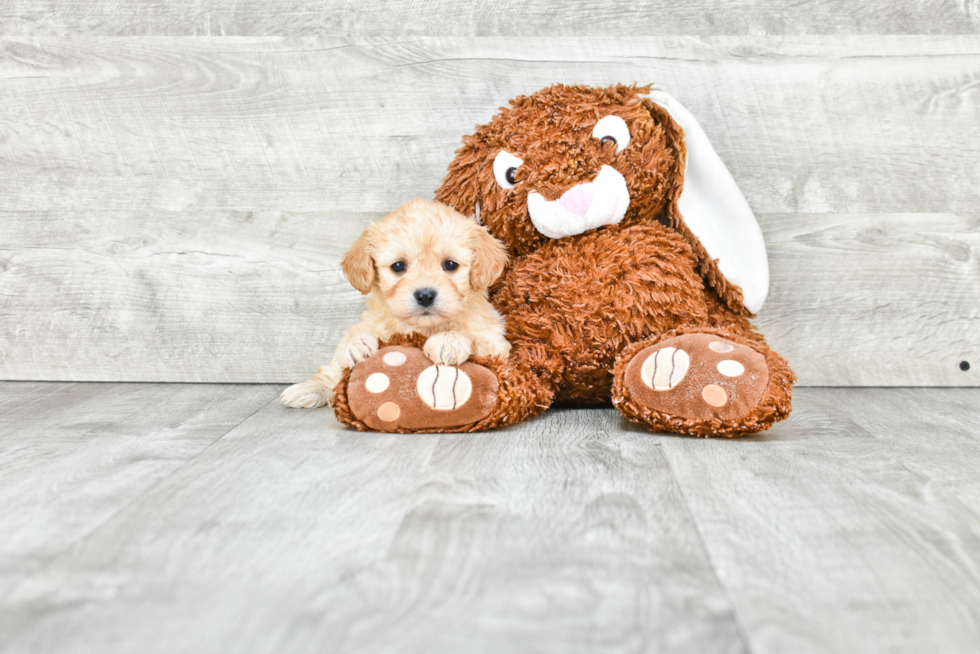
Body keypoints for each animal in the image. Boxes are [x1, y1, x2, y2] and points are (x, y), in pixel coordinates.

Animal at [282, 199, 512, 410]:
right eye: (398, 266)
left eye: (450, 265)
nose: (425, 295)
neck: (421, 327)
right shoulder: (377, 326)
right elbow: (344, 352)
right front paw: (355, 344)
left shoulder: (495, 342)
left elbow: (473, 336)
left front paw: (448, 340)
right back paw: (307, 389)